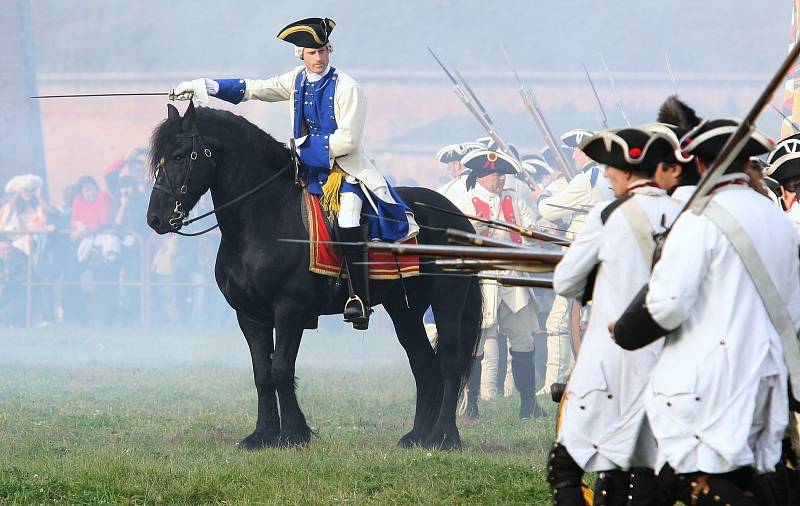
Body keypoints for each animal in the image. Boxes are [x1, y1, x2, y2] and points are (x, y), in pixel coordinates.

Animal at [146, 104, 482, 450]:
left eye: (179, 156)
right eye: (159, 158)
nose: (155, 218)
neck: (262, 217)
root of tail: (456, 216)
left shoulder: (290, 309)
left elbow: (281, 368)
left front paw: (294, 433)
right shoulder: (250, 315)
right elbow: (262, 374)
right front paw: (263, 434)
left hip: (447, 301)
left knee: (450, 361)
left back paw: (445, 436)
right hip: (405, 309)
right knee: (424, 364)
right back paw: (418, 435)